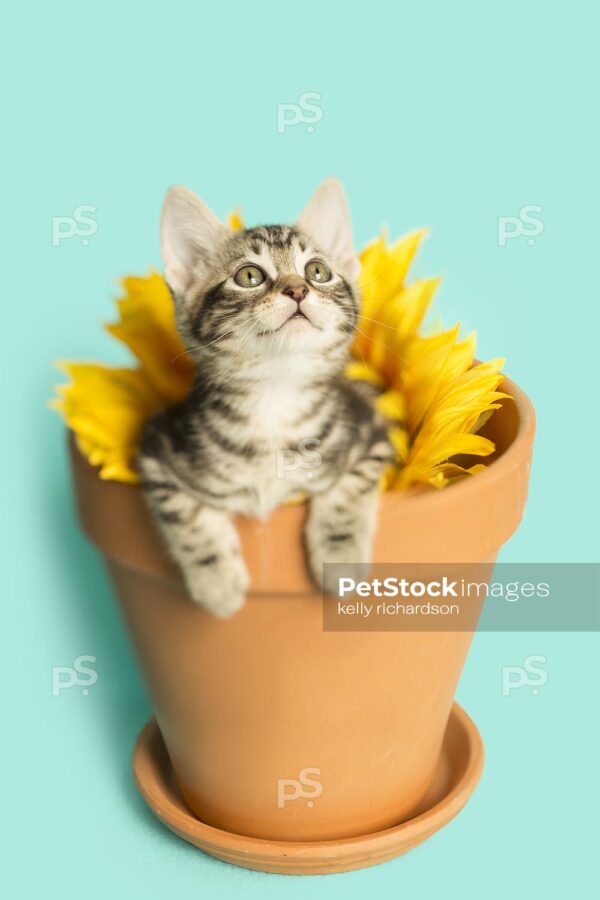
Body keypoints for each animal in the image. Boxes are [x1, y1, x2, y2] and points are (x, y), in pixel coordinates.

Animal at [138, 179, 392, 616]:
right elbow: (185, 512)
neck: (275, 395)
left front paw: (340, 557)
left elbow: (349, 488)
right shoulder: (157, 445)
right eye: (250, 276)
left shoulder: (371, 431)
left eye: (318, 271)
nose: (297, 288)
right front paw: (217, 581)